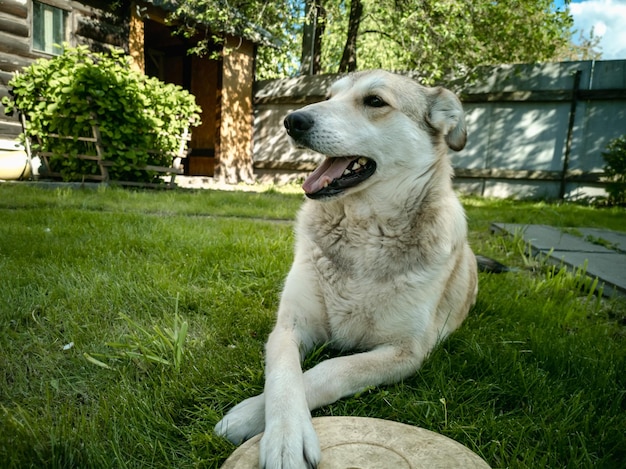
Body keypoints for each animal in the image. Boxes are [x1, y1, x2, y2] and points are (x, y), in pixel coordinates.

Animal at [214, 70, 478, 468]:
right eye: (329, 95)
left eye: (375, 101)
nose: (292, 121)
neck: (363, 231)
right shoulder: (289, 325)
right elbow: (283, 374)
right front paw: (282, 432)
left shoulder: (406, 352)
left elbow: (329, 370)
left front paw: (254, 418)